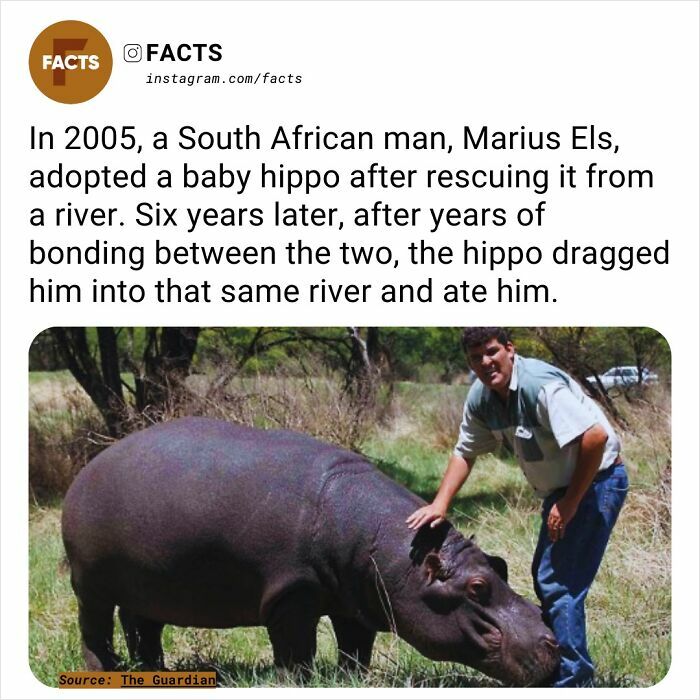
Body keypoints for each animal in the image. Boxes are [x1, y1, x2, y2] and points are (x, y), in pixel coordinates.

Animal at [62, 417, 559, 685]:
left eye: (501, 566)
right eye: (476, 587)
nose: (552, 641)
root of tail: (89, 466)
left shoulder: (357, 600)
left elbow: (356, 647)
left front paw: (355, 679)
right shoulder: (290, 595)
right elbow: (297, 648)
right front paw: (297, 681)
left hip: (148, 584)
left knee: (143, 626)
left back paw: (155, 672)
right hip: (89, 585)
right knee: (95, 629)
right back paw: (102, 673)